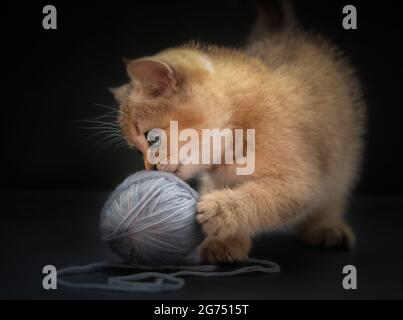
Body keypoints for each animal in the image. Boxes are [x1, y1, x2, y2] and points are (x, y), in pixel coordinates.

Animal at [110, 1, 366, 262]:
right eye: (137, 150)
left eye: (152, 138)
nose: (149, 168)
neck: (233, 136)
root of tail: (284, 32)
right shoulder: (216, 177)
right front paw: (224, 242)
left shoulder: (303, 179)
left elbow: (267, 197)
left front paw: (222, 209)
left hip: (343, 154)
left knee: (334, 191)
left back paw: (325, 225)